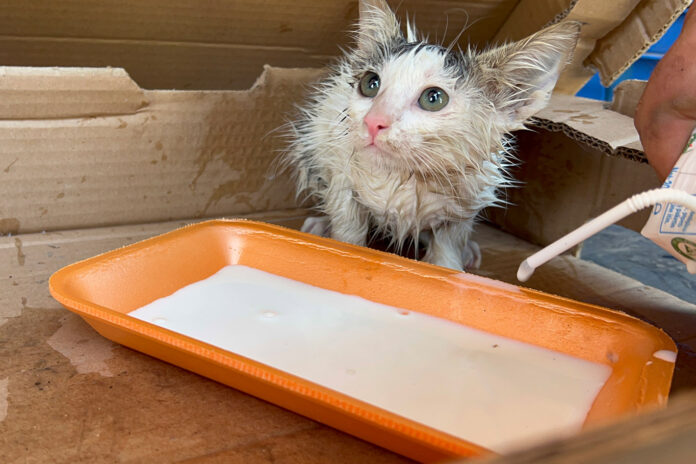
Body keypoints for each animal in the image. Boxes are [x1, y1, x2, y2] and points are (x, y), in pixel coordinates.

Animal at [284, 0, 580, 270]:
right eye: (370, 84)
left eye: (433, 98)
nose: (373, 121)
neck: (405, 176)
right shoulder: (341, 170)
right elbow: (347, 223)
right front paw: (340, 246)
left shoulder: (471, 196)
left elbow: (449, 245)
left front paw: (450, 268)